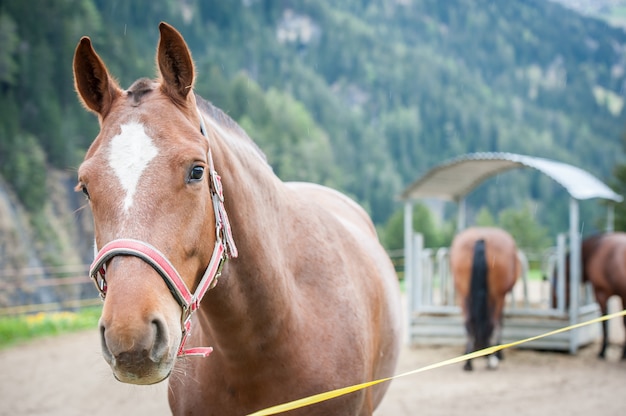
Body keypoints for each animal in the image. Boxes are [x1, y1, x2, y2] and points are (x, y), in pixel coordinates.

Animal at [446, 228, 520, 370]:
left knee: (469, 322)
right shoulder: (501, 297)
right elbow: (500, 322)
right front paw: (498, 354)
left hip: (464, 295)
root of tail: (481, 238)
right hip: (497, 297)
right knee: (493, 323)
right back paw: (491, 359)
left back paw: (468, 362)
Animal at [552, 232, 624, 360]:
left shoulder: (601, 293)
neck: (595, 250)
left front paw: (603, 352)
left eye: (554, 289)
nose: (553, 306)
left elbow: (605, 321)